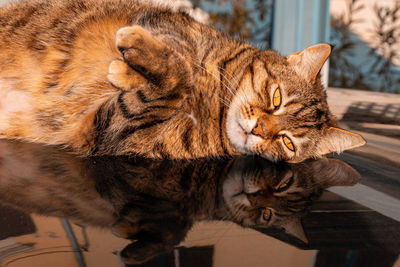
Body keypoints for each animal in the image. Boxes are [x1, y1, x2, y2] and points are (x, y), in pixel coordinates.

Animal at [0, 0, 366, 162]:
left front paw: (127, 67)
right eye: (276, 99)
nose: (259, 130)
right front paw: (128, 63)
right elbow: (182, 57)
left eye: (288, 142)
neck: (213, 106)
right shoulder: (166, 21)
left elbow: (173, 84)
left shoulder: (113, 134)